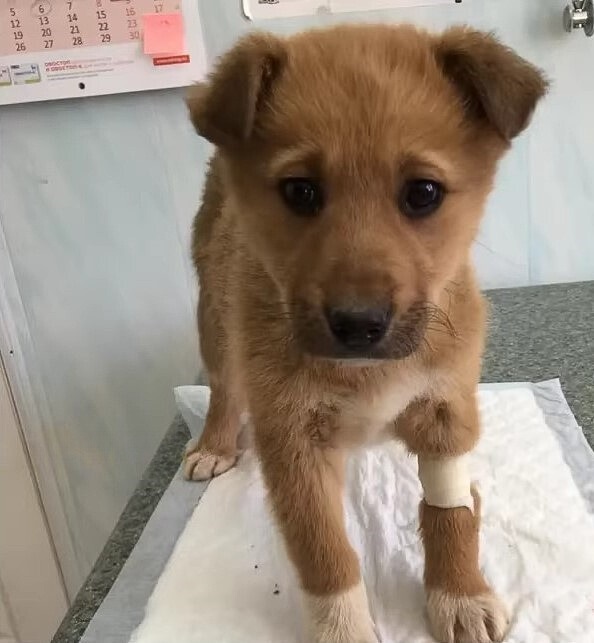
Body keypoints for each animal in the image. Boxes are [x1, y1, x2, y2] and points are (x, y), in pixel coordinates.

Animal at [182, 22, 544, 640]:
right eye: (300, 191)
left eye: (423, 193)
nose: (358, 324)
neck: (366, 373)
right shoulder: (293, 442)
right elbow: (324, 552)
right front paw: (342, 627)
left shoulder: (446, 410)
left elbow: (450, 512)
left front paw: (459, 593)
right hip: (214, 318)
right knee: (224, 388)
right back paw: (213, 443)